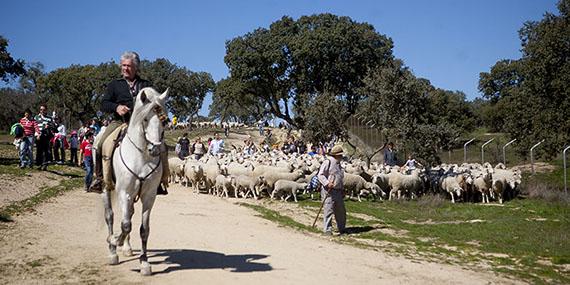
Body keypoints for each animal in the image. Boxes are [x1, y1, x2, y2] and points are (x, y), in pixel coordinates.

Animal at [101, 87, 168, 276]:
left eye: (164, 121)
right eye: (145, 119)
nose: (155, 150)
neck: (141, 156)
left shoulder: (149, 196)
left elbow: (143, 229)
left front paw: (144, 262)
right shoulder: (125, 193)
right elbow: (124, 225)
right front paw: (114, 241)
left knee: (129, 215)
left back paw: (127, 248)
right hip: (105, 189)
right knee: (110, 216)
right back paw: (113, 251)